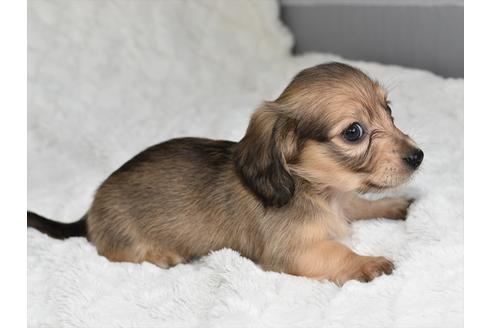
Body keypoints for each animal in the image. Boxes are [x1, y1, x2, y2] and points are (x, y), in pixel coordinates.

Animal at [26, 61, 420, 284]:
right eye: (354, 132)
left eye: (388, 110)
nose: (418, 156)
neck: (313, 190)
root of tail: (89, 212)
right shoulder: (291, 252)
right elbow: (338, 253)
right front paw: (368, 263)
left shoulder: (343, 199)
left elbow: (359, 204)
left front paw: (394, 205)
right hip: (125, 243)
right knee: (111, 252)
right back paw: (160, 255)